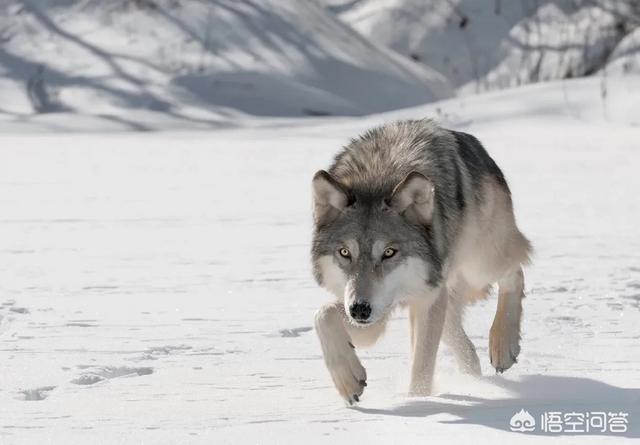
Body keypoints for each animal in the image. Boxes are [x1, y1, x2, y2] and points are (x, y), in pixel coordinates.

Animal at [312, 119, 532, 404]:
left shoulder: (424, 299)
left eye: (389, 252)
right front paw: (348, 381)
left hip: (480, 264)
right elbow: (323, 315)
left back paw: (503, 346)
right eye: (345, 253)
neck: (377, 176)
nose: (359, 310)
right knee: (457, 333)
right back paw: (472, 375)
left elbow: (422, 365)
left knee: (515, 272)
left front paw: (418, 402)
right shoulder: (373, 315)